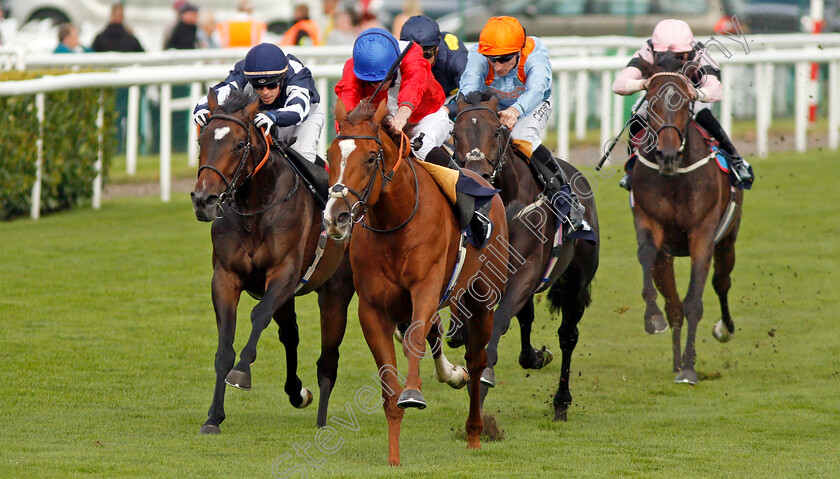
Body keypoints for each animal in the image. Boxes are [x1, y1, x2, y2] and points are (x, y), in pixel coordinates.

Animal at [190, 87, 354, 436]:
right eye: (202, 140)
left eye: (239, 145)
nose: (204, 200)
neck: (255, 208)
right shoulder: (226, 277)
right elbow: (224, 347)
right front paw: (213, 417)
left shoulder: (284, 274)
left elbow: (258, 316)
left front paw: (242, 372)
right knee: (291, 335)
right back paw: (297, 392)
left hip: (335, 291)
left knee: (328, 359)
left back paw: (322, 421)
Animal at [326, 99, 512, 466]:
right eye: (330, 154)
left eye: (370, 157)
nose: (335, 216)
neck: (394, 221)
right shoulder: (373, 309)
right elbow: (388, 379)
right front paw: (394, 456)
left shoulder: (426, 288)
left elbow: (414, 338)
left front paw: (413, 392)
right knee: (436, 333)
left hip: (482, 299)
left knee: (476, 359)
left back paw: (474, 433)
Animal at [456, 92, 600, 422]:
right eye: (455, 134)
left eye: (496, 132)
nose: (477, 177)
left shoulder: (526, 271)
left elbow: (499, 323)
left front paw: (484, 379)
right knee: (527, 318)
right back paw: (534, 357)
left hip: (576, 283)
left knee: (568, 335)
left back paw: (561, 401)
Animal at [632, 55, 744, 386]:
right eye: (652, 100)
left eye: (683, 103)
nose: (667, 154)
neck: (675, 178)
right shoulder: (649, 222)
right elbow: (647, 255)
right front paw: (652, 317)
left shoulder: (703, 234)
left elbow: (694, 300)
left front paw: (690, 369)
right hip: (668, 256)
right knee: (673, 305)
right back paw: (675, 358)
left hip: (728, 239)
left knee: (721, 282)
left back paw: (723, 330)